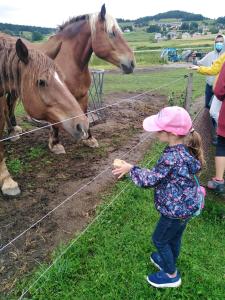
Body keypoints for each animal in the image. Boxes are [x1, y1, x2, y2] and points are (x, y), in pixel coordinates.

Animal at [6, 4, 134, 154]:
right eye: (112, 33)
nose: (132, 63)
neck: (71, 61)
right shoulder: (55, 95)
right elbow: (55, 122)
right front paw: (55, 144)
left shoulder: (82, 95)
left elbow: (84, 115)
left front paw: (89, 138)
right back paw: (11, 133)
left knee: (10, 103)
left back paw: (14, 128)